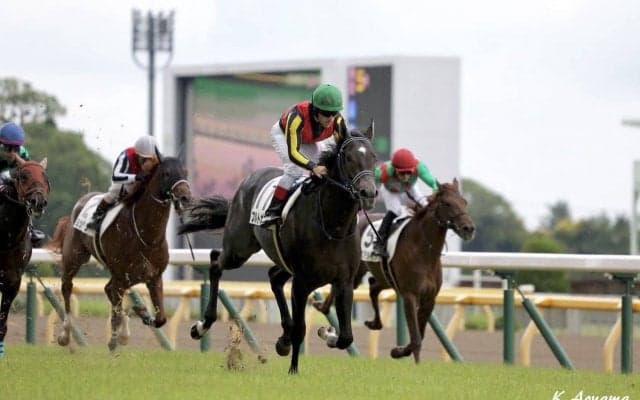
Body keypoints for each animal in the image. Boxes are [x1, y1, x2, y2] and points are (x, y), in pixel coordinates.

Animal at [45, 157, 223, 351]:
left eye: (185, 172)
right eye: (166, 173)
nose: (185, 197)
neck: (146, 237)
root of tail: (83, 199)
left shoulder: (153, 277)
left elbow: (160, 319)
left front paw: (141, 315)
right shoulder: (124, 276)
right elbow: (117, 312)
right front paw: (115, 339)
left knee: (108, 289)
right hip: (75, 257)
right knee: (67, 287)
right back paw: (65, 334)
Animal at [179, 125, 378, 374]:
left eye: (373, 158)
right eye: (349, 157)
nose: (368, 193)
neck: (333, 225)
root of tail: (248, 180)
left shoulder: (344, 281)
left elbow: (346, 337)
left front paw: (327, 332)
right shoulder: (301, 281)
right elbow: (301, 328)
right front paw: (294, 370)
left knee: (274, 277)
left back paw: (283, 340)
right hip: (238, 248)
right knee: (216, 261)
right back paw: (202, 325)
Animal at [313, 179, 475, 362]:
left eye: (464, 202)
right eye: (446, 203)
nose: (468, 228)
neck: (424, 252)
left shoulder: (429, 298)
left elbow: (420, 335)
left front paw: (403, 353)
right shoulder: (409, 295)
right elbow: (416, 338)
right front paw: (405, 356)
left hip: (384, 277)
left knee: (373, 287)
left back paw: (373, 322)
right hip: (356, 272)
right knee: (339, 291)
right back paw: (324, 315)